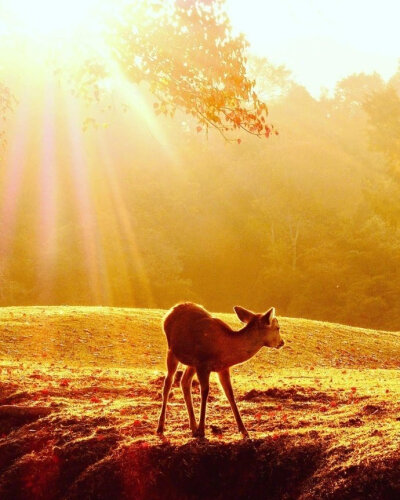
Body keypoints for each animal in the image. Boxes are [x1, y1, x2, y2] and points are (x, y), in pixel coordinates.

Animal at [156, 300, 284, 438]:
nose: (282, 342)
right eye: (277, 327)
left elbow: (230, 394)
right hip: (171, 351)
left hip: (191, 363)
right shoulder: (202, 364)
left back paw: (193, 427)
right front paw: (202, 430)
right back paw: (161, 427)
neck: (224, 349)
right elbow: (205, 392)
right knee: (168, 383)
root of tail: (169, 312)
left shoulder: (223, 368)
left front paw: (244, 430)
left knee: (184, 382)